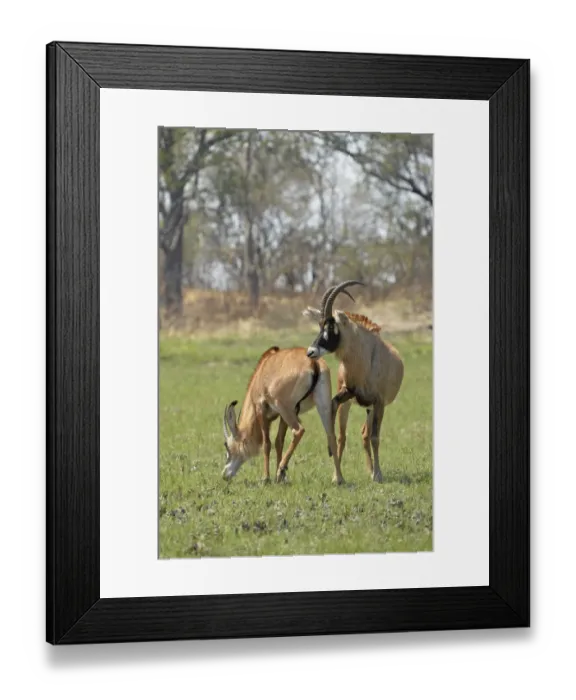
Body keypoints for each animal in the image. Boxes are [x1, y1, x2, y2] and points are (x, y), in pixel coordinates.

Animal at [222, 345, 345, 484]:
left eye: (228, 447)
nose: (224, 475)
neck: (261, 371)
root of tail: (313, 362)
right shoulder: (282, 416)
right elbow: (279, 442)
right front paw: (279, 478)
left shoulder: (261, 410)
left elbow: (267, 444)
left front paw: (267, 477)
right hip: (321, 406)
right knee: (331, 436)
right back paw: (338, 478)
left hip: (285, 408)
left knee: (299, 431)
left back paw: (282, 467)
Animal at [303, 281, 404, 483]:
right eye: (319, 325)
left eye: (331, 327)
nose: (311, 352)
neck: (364, 358)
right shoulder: (347, 393)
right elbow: (338, 426)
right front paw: (336, 475)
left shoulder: (379, 402)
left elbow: (375, 438)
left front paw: (378, 475)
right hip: (356, 405)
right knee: (352, 435)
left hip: (371, 408)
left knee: (367, 435)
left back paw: (372, 471)